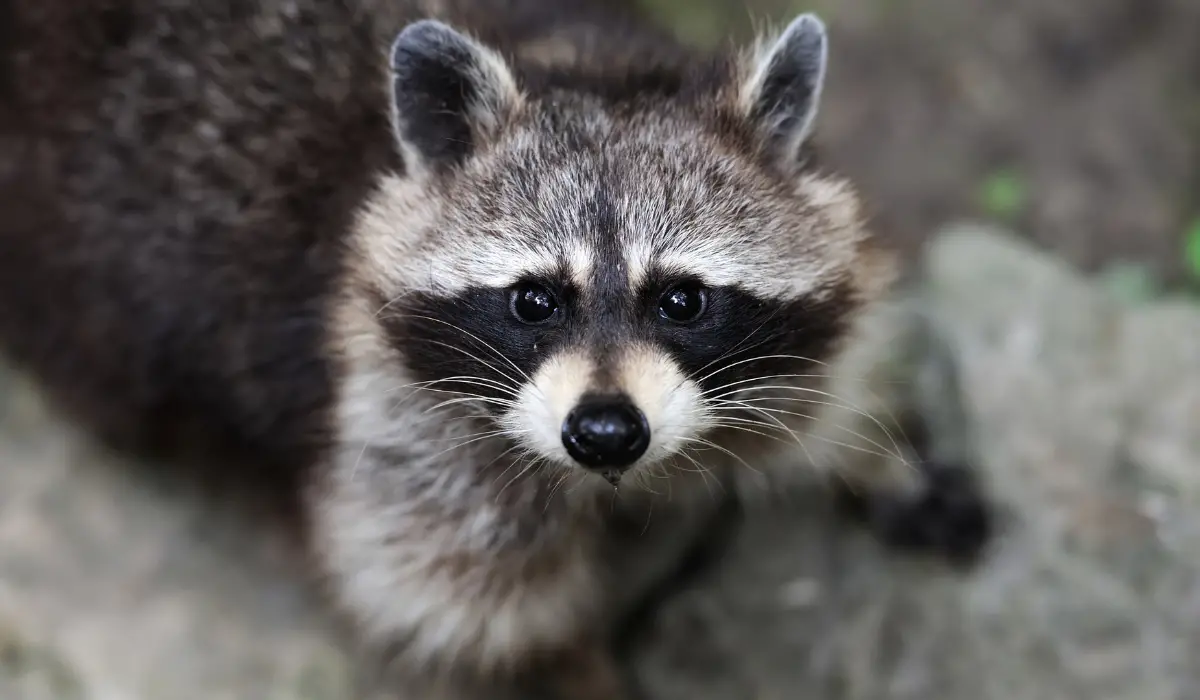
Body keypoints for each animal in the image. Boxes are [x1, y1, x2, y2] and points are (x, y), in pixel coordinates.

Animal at [0, 0, 993, 697]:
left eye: (682, 300)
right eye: (533, 300)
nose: (605, 433)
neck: (587, 68)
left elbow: (830, 371)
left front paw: (880, 455)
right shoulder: (390, 423)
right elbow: (474, 614)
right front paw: (576, 671)